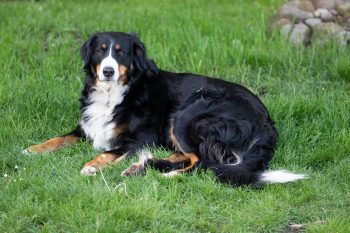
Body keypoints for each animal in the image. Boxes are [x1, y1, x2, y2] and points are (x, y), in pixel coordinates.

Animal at [22, 31, 306, 187]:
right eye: (101, 51)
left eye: (121, 52)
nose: (108, 71)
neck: (116, 92)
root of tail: (266, 121)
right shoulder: (87, 126)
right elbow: (58, 138)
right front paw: (32, 149)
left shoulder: (140, 138)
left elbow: (109, 152)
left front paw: (91, 165)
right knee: (186, 156)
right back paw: (141, 167)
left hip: (188, 115)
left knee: (202, 162)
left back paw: (166, 175)